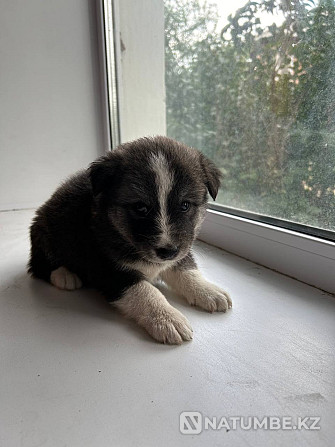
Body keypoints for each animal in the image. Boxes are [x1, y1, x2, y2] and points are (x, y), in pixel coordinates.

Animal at [28, 136, 232, 346]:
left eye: (185, 205)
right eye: (140, 207)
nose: (167, 251)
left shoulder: (181, 249)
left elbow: (186, 269)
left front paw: (207, 290)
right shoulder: (107, 269)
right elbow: (144, 291)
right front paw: (167, 318)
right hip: (44, 232)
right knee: (39, 264)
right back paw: (65, 276)